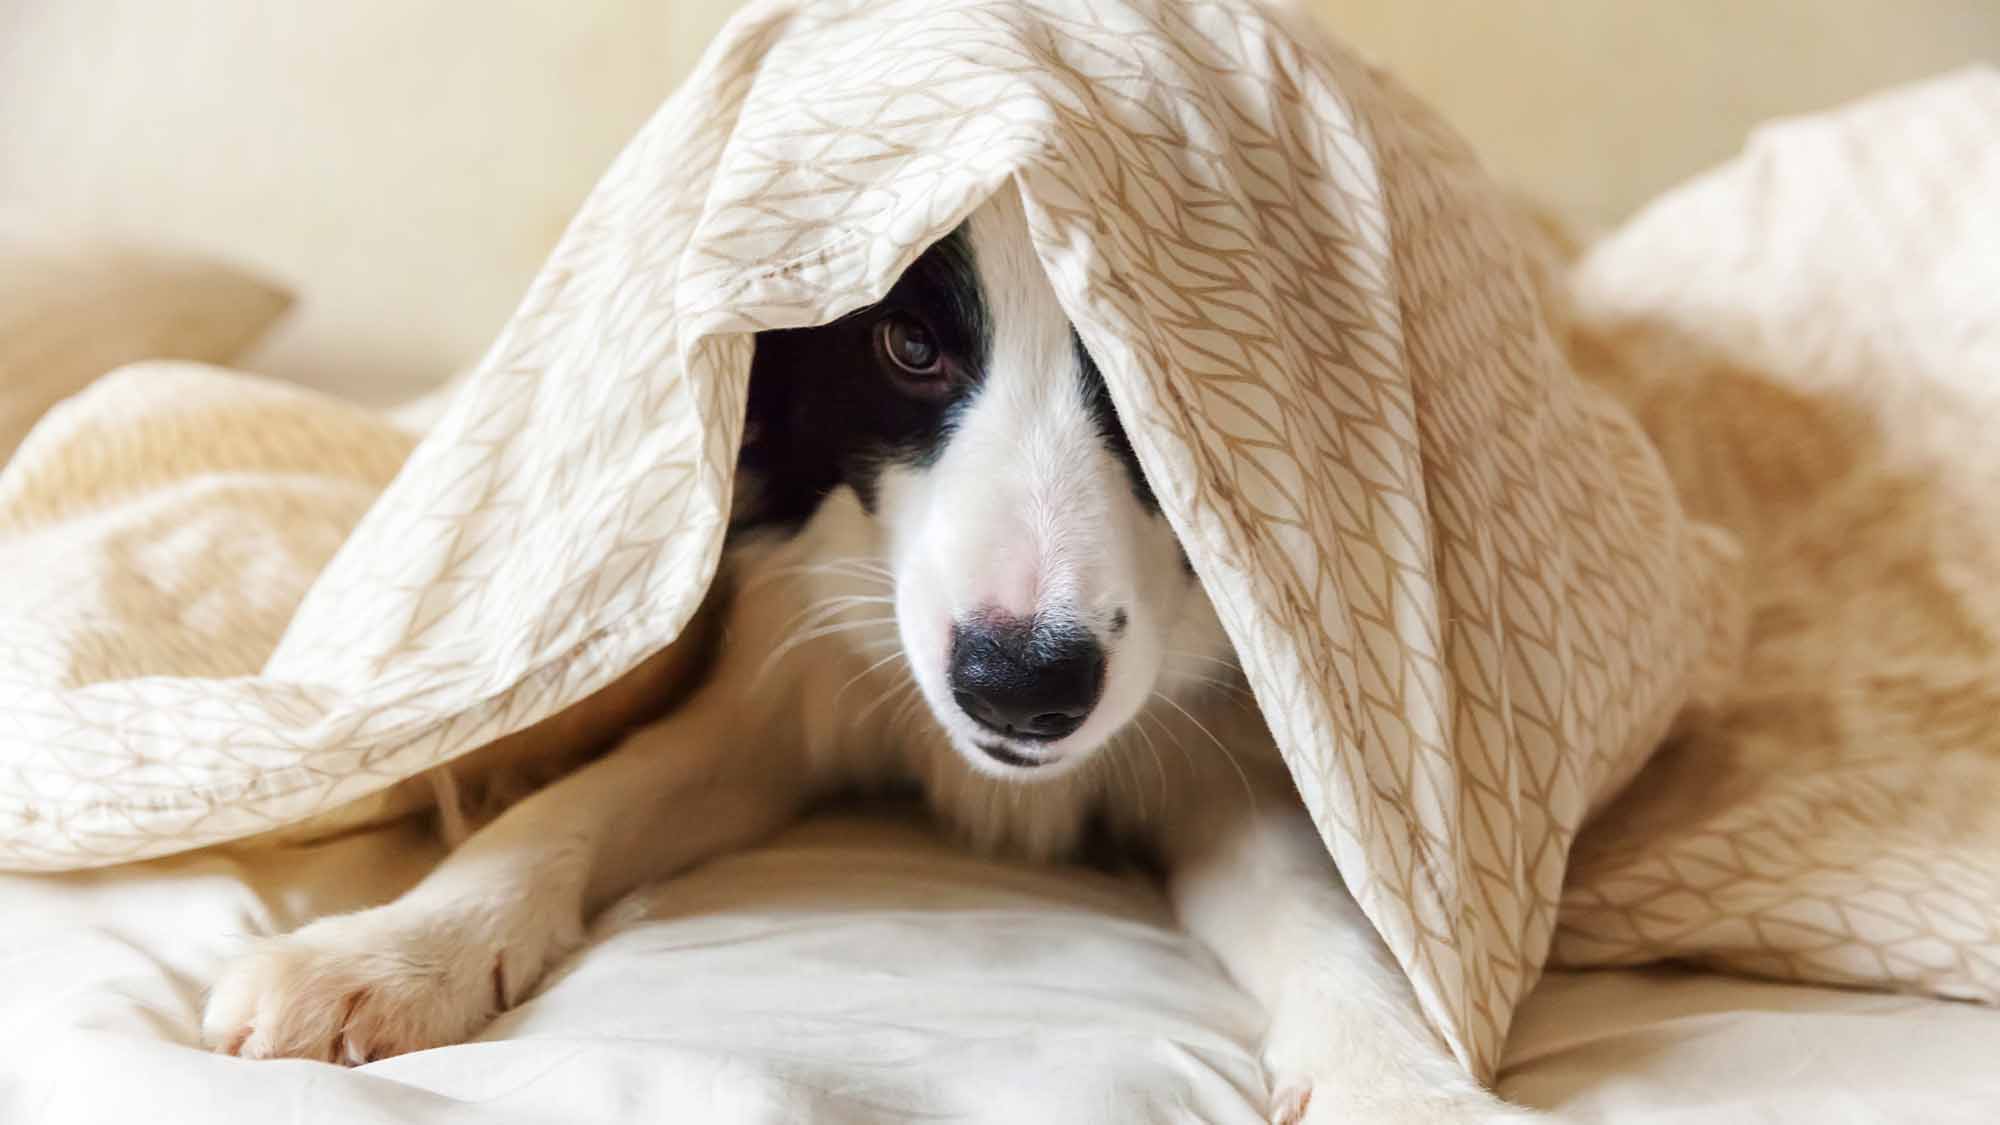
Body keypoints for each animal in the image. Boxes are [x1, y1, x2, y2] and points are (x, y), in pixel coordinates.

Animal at [203, 188, 1528, 1112]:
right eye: (905, 346)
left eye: (1156, 372)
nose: (1021, 687)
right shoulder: (786, 684)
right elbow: (572, 809)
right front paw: (380, 951)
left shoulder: (1229, 753)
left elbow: (1325, 917)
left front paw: (1401, 1088)